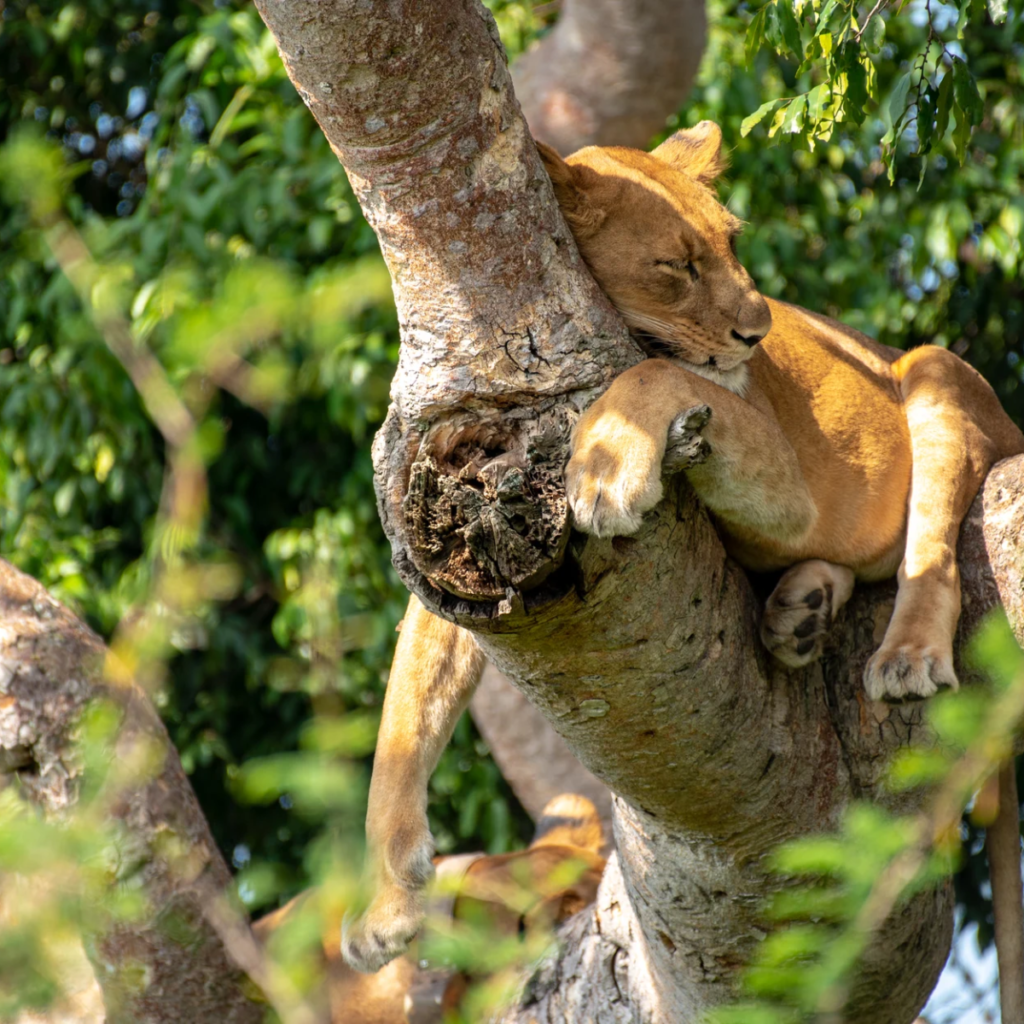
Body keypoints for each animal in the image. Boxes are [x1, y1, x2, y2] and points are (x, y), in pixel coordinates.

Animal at [342, 122, 1024, 978]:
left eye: (731, 242)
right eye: (677, 265)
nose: (759, 333)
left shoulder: (787, 484)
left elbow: (660, 373)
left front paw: (605, 469)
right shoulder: (462, 557)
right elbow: (403, 717)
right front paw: (386, 910)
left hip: (936, 373)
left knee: (930, 550)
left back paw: (902, 655)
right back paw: (799, 614)